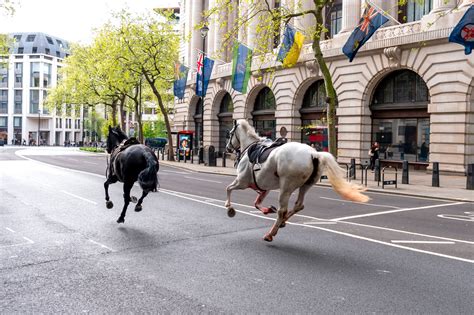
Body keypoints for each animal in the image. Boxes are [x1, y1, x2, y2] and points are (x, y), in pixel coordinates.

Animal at [226, 119, 370, 243]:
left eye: (230, 133)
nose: (227, 148)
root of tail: (314, 154)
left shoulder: (241, 181)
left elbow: (228, 188)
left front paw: (229, 208)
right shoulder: (264, 188)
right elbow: (256, 203)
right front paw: (267, 209)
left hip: (286, 187)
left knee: (282, 210)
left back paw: (271, 233)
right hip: (305, 185)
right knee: (298, 205)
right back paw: (282, 222)